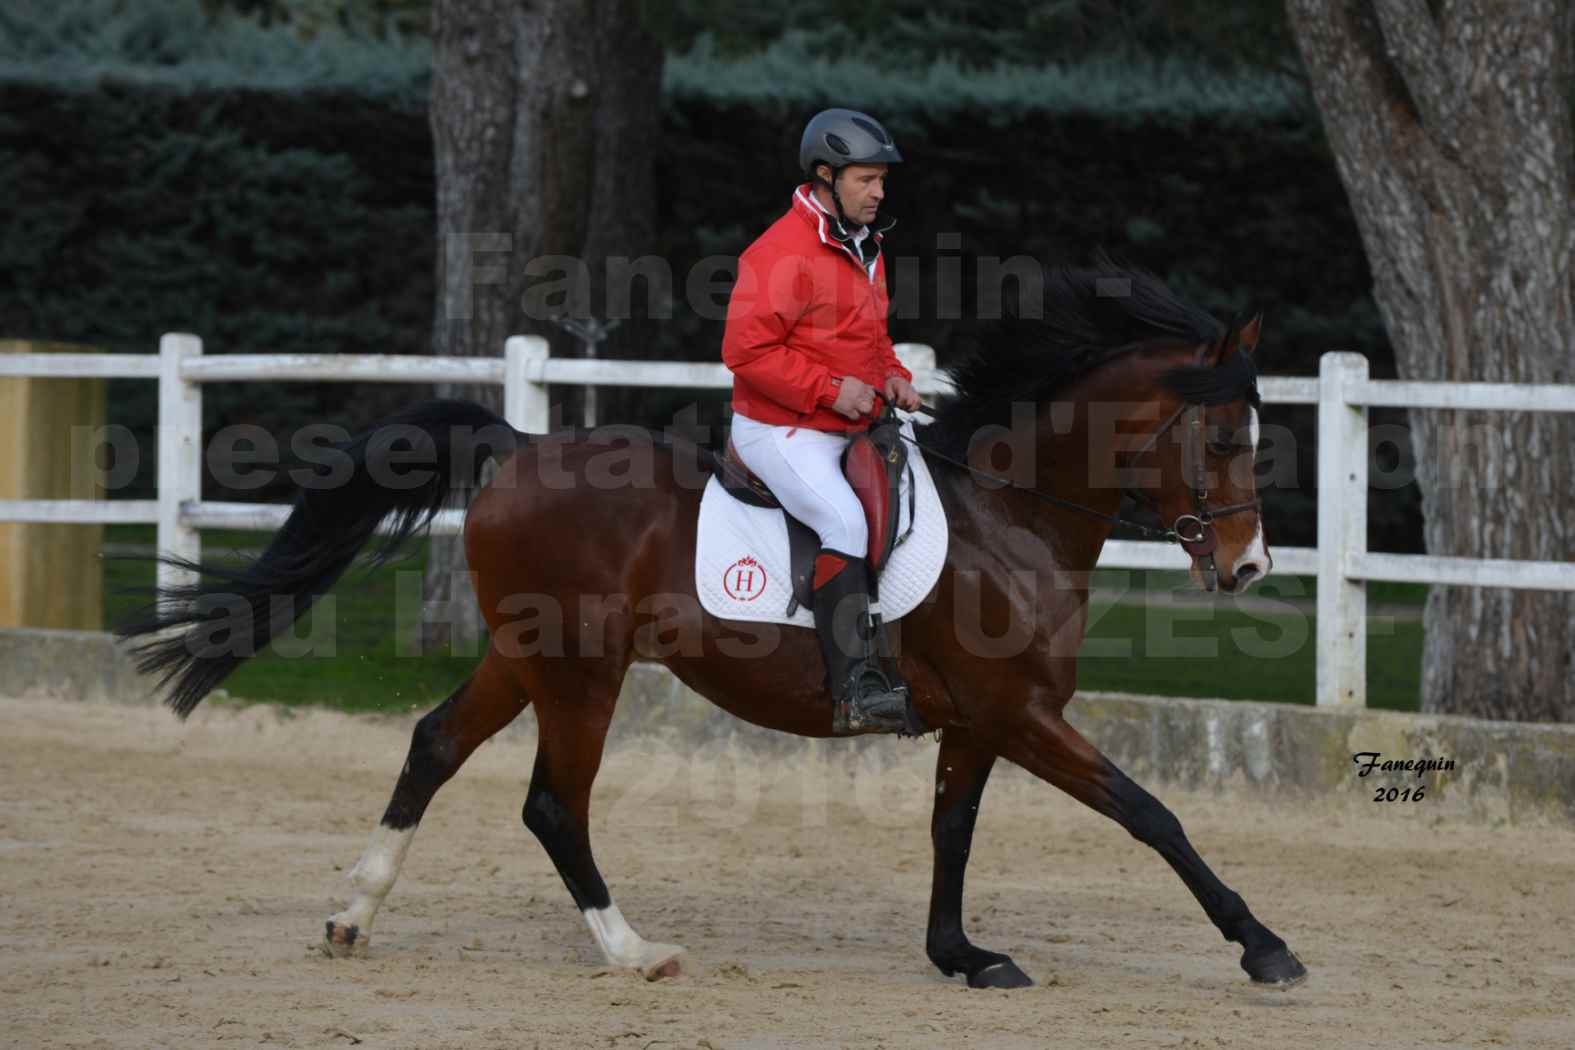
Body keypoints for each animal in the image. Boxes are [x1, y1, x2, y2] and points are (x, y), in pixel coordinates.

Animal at [119, 262, 1304, 994]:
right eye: (1224, 438)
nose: (1247, 566)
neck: (1008, 512)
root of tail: (517, 446)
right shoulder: (1018, 713)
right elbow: (1150, 814)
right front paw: (1262, 945)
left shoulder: (978, 722)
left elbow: (953, 832)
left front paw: (960, 954)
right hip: (581, 672)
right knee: (553, 805)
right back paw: (633, 952)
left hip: (525, 656)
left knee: (434, 746)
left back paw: (355, 916)